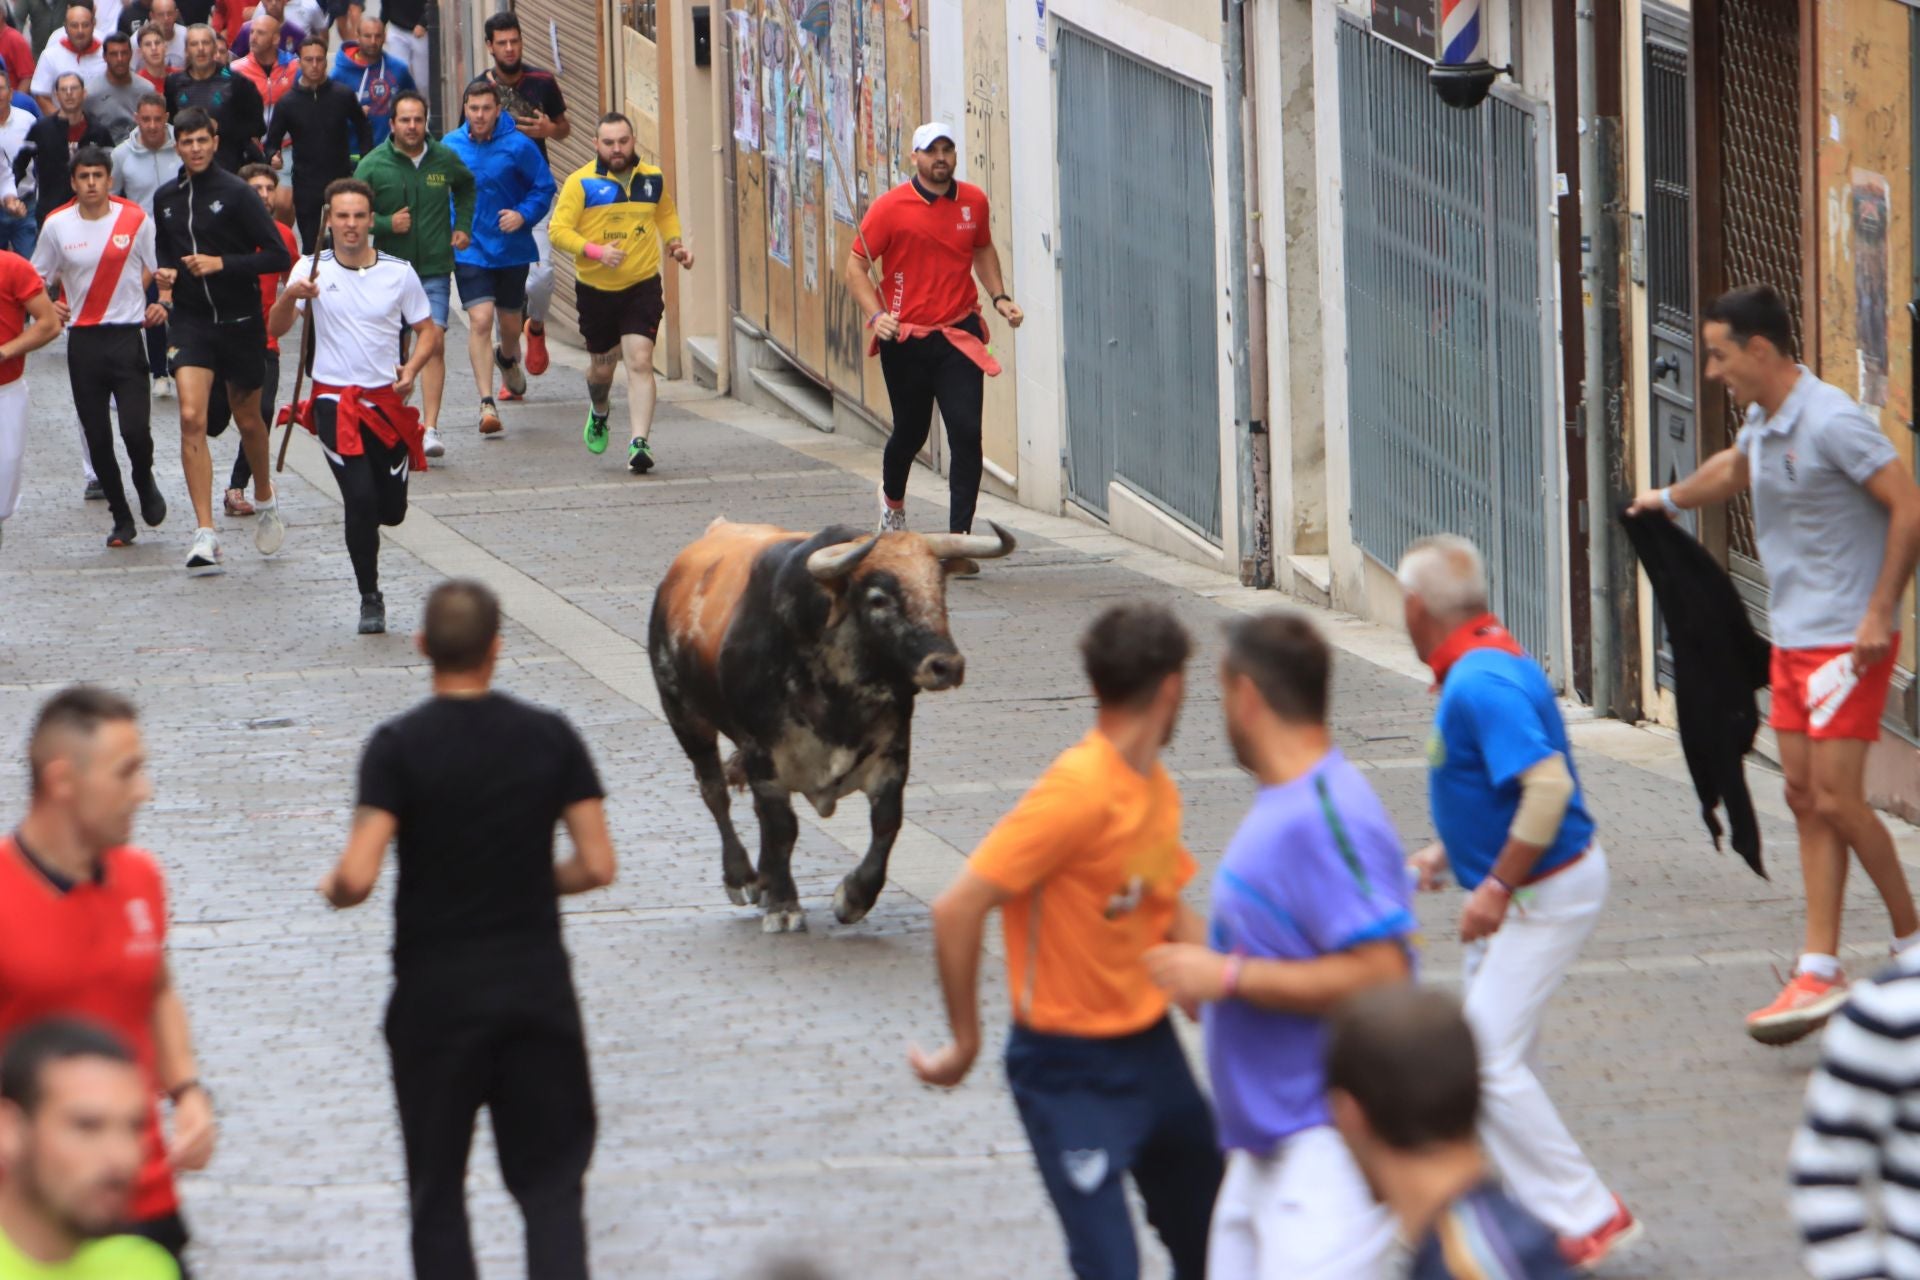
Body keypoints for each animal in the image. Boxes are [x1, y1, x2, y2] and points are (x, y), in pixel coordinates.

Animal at [645, 518, 1013, 932]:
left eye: (939, 585)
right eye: (878, 598)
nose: (946, 665)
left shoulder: (892, 751)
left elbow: (887, 822)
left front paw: (853, 897)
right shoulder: (762, 754)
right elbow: (782, 827)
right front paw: (784, 905)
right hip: (685, 717)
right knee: (714, 792)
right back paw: (741, 877)